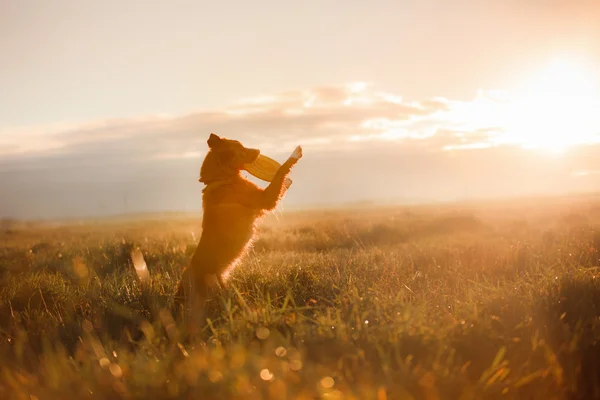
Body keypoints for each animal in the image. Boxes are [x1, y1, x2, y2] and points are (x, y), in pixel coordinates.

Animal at [176, 133, 302, 330]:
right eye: (241, 149)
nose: (258, 150)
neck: (222, 179)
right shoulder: (265, 199)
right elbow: (280, 171)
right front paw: (294, 155)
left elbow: (281, 180)